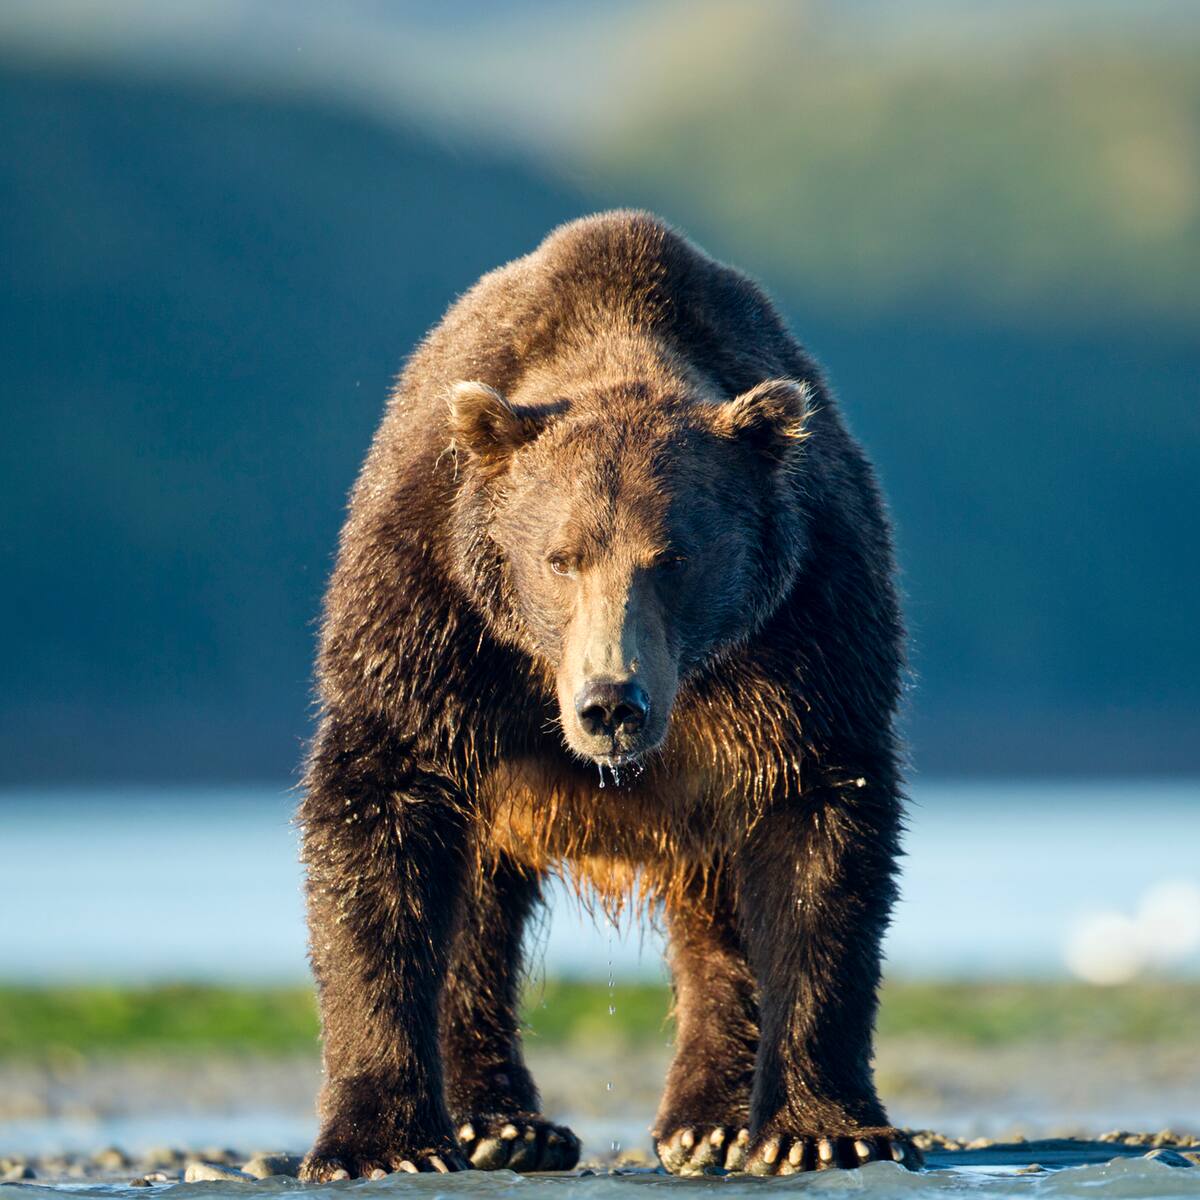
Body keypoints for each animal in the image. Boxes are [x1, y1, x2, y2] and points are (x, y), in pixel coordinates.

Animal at [297, 211, 915, 1179]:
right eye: (561, 557)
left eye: (675, 557)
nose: (611, 703)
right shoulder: (433, 608)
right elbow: (380, 821)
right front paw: (381, 1143)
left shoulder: (807, 626)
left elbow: (820, 844)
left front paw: (819, 1130)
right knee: (476, 918)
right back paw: (503, 1124)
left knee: (717, 919)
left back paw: (707, 1120)